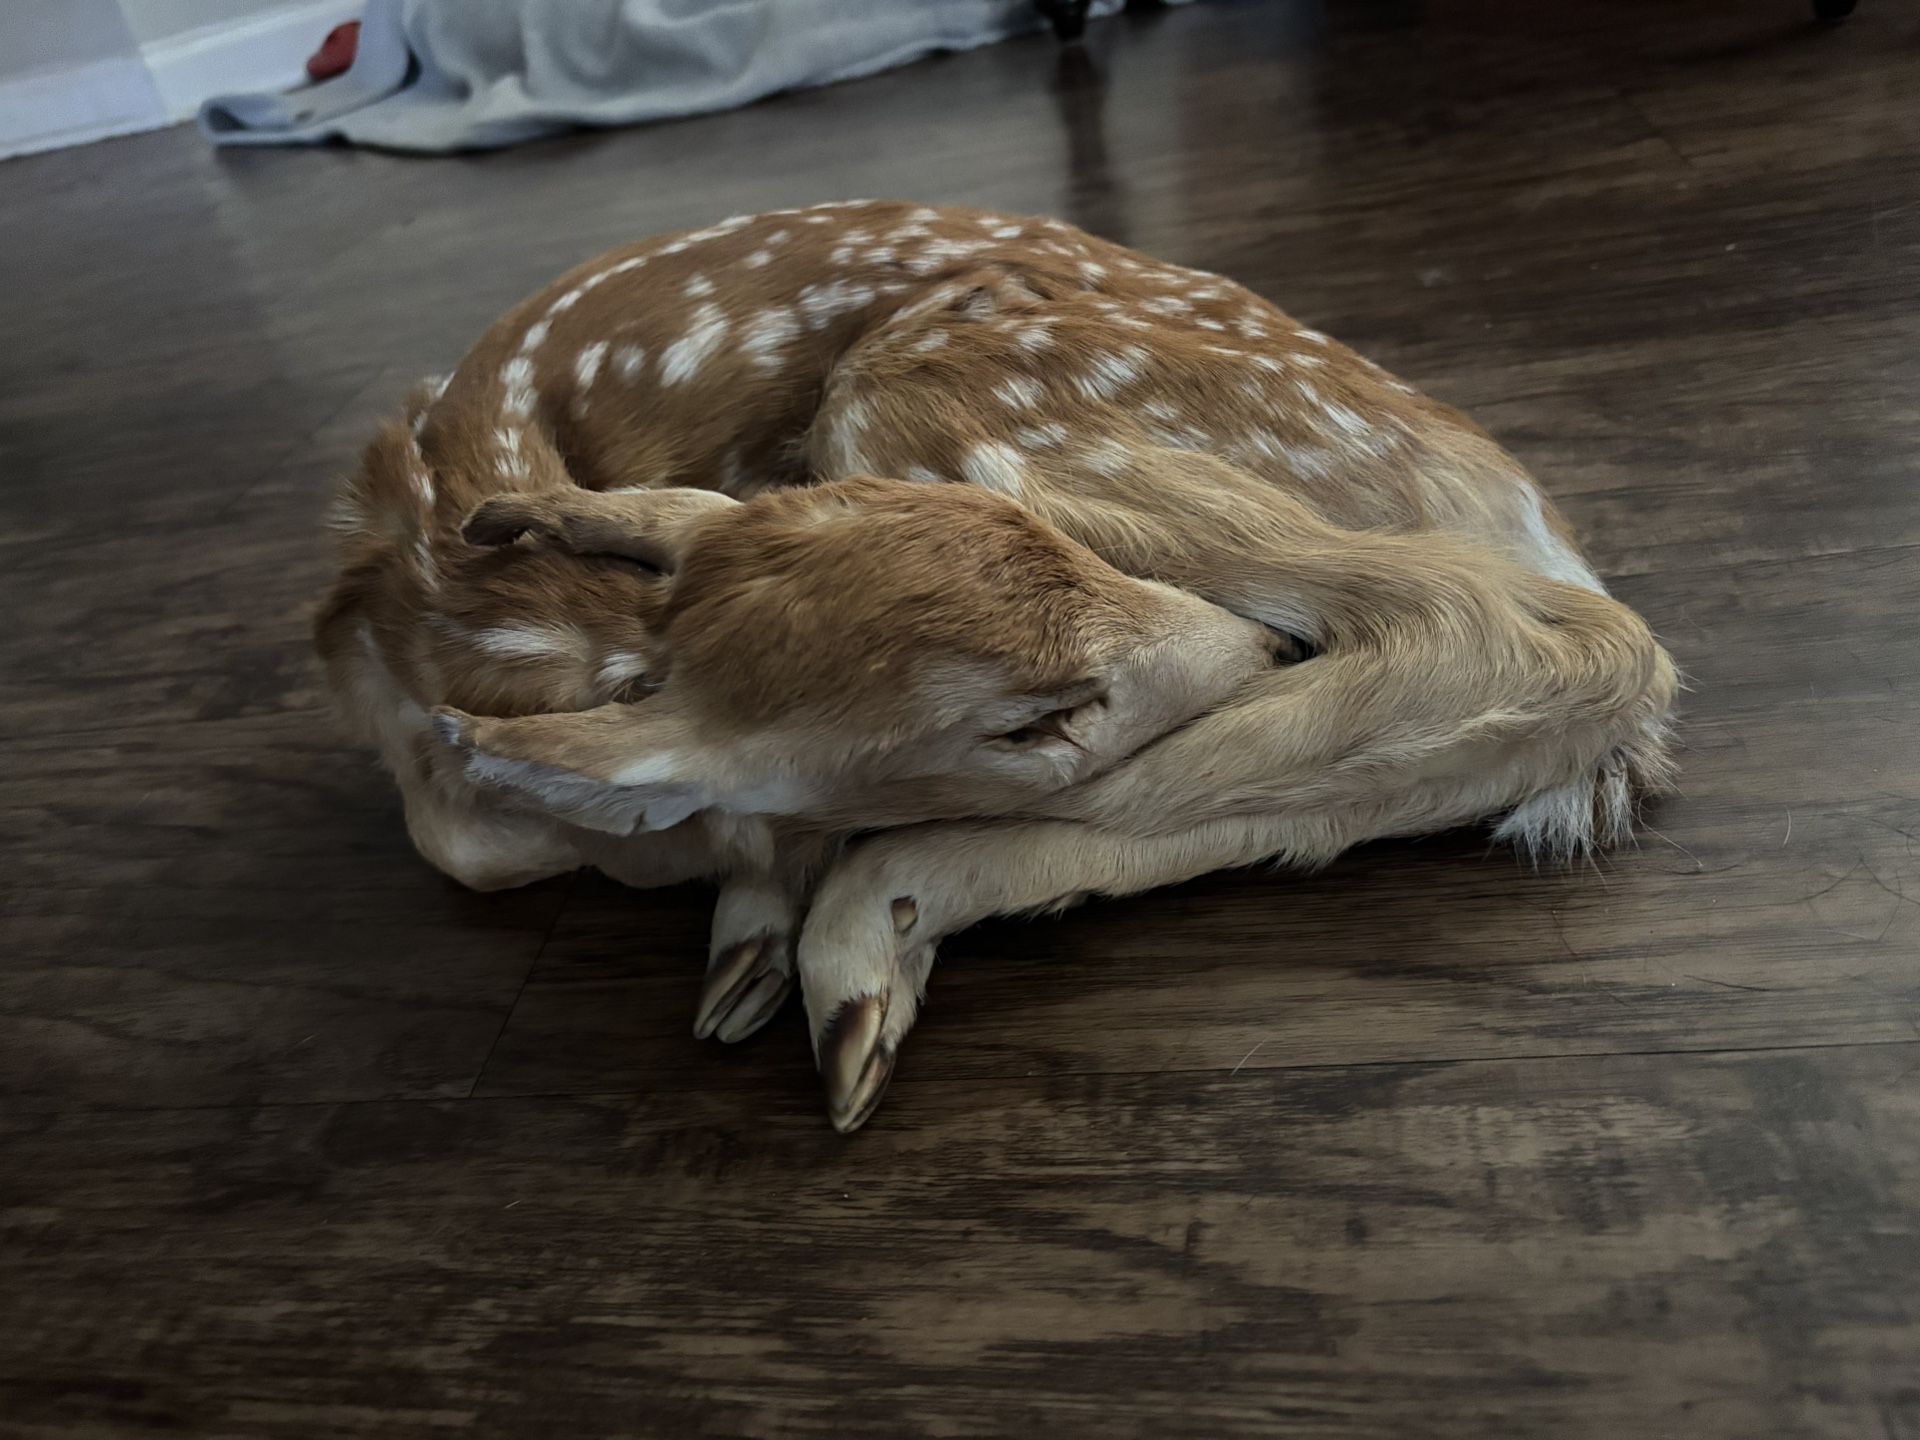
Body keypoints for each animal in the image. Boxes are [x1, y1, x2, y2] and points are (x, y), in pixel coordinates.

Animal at [316, 200, 1676, 1130]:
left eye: (1033, 533)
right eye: (1026, 720)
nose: (1252, 644)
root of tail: (1502, 491)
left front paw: (782, 911)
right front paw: (766, 923)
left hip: (941, 389)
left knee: (1542, 638)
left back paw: (861, 924)